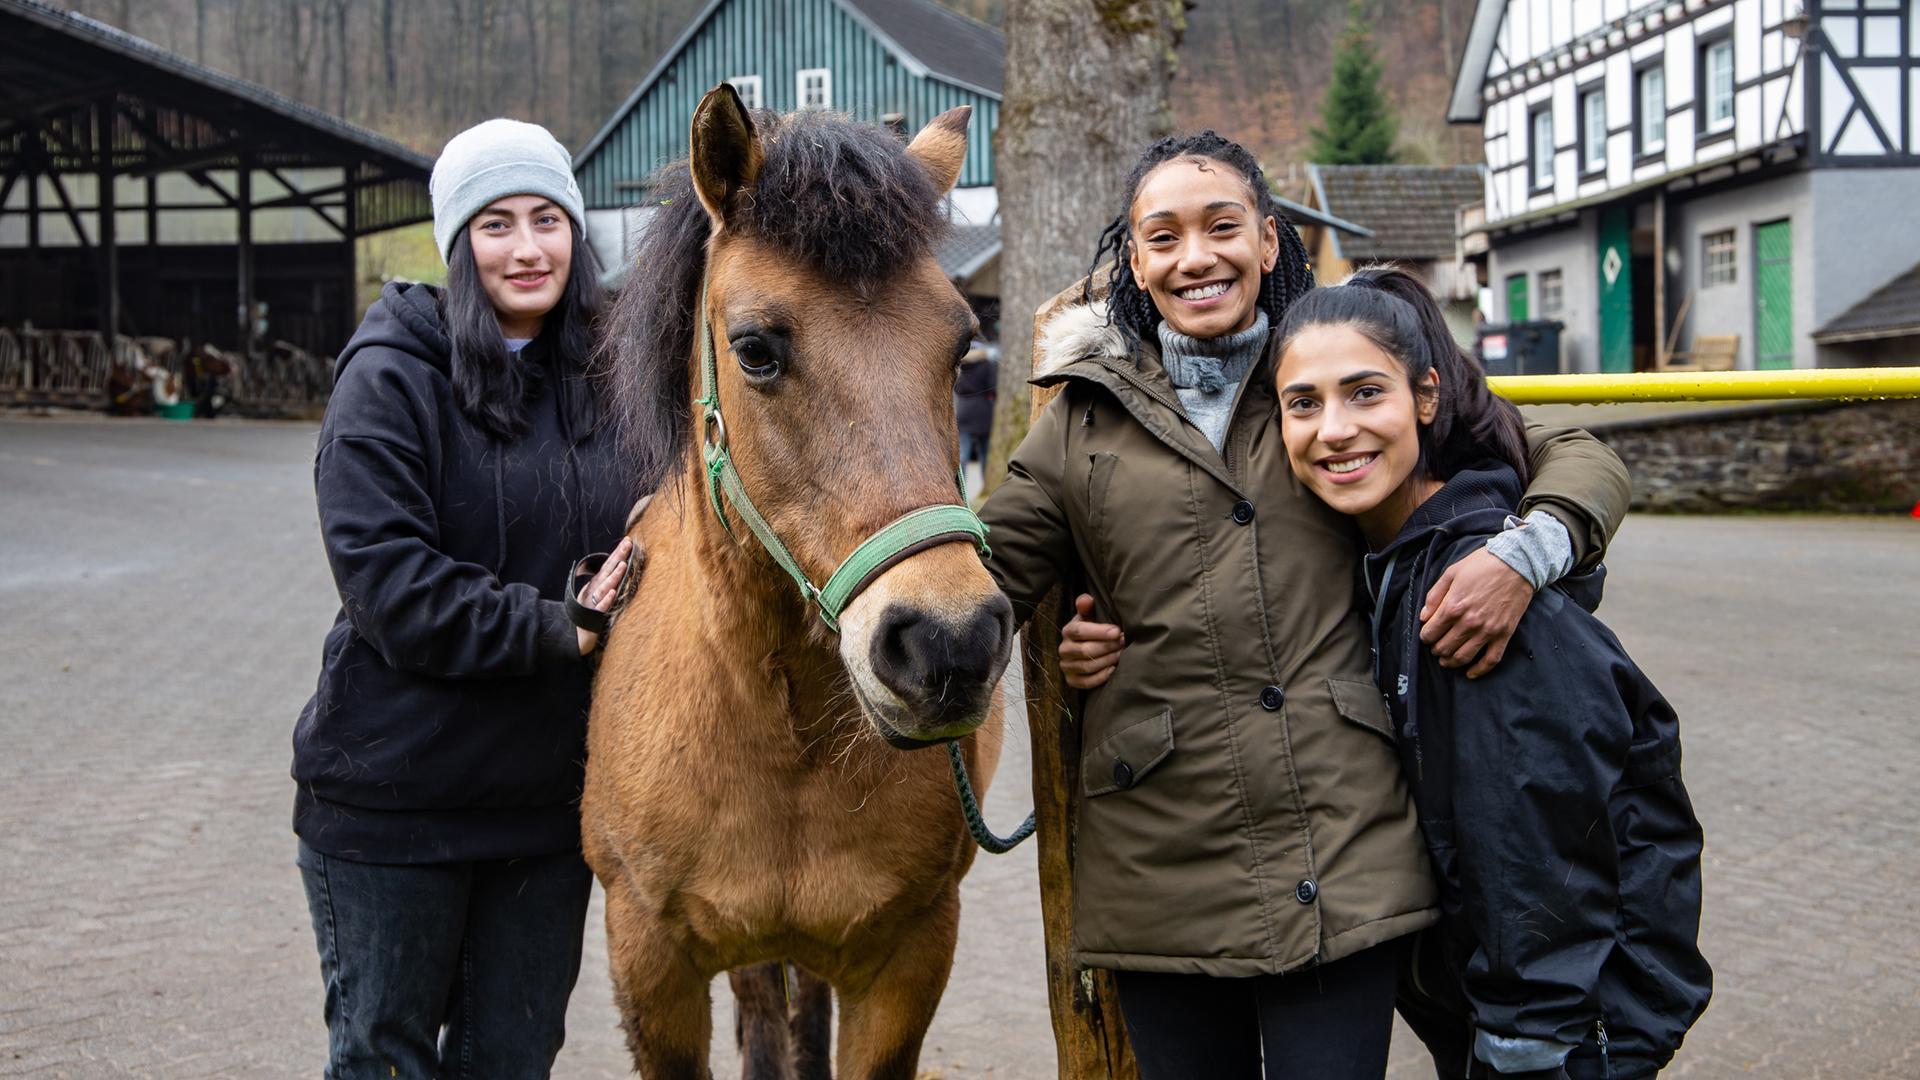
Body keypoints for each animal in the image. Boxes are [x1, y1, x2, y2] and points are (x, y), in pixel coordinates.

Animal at [584, 84, 1016, 1080]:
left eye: (962, 345)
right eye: (755, 350)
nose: (949, 642)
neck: (781, 735)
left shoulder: (905, 961)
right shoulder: (649, 965)